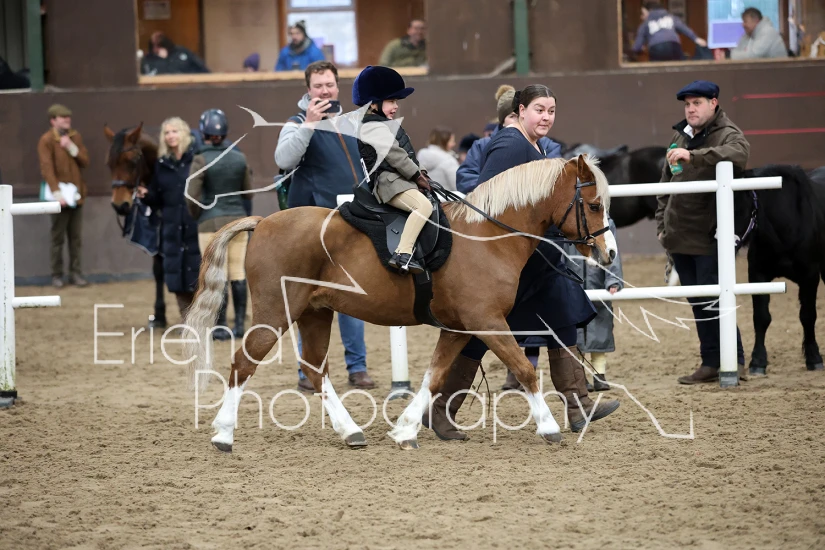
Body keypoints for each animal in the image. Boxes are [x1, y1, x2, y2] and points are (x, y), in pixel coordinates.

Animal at [104, 122, 166, 328]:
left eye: (132, 161)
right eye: (109, 163)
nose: (119, 205)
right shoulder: (158, 235)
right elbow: (159, 270)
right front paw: (159, 315)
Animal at [183, 155, 616, 453]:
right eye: (594, 205)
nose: (609, 253)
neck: (487, 237)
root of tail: (263, 222)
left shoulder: (459, 327)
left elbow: (434, 376)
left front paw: (406, 429)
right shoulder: (487, 321)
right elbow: (524, 369)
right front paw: (550, 428)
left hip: (315, 313)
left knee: (316, 369)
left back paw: (351, 432)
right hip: (275, 313)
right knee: (244, 362)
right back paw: (224, 434)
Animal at [733, 164, 825, 375]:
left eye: (739, 208)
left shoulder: (810, 276)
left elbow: (808, 316)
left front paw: (814, 358)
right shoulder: (757, 274)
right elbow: (761, 317)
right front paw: (758, 361)